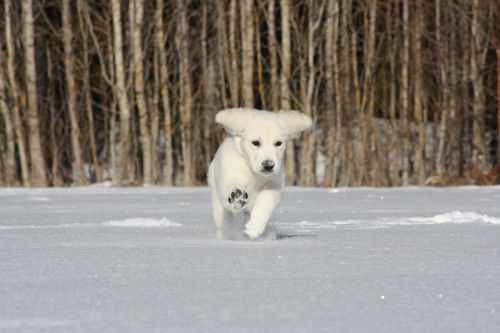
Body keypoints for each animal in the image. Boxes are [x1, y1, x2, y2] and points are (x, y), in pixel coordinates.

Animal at [208, 107, 312, 240]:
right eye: (255, 142)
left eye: (278, 143)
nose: (268, 165)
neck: (254, 173)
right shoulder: (231, 173)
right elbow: (232, 185)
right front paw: (237, 196)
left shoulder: (274, 184)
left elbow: (266, 201)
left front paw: (254, 227)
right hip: (216, 197)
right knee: (224, 218)